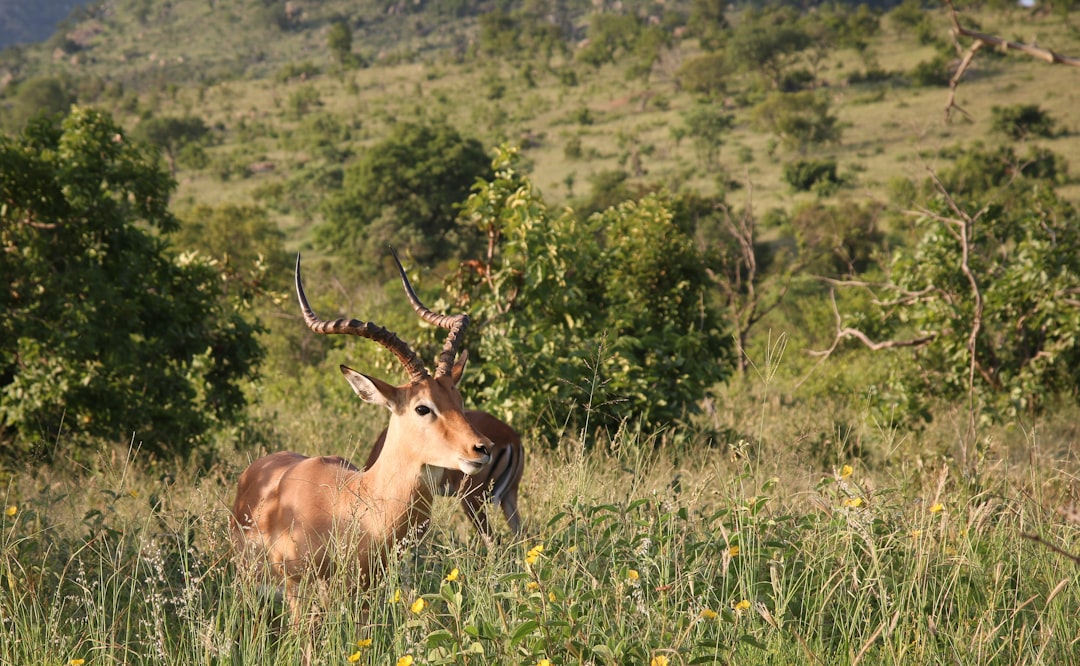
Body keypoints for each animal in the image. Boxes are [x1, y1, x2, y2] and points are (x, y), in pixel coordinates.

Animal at [234, 251, 494, 617]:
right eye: (422, 407)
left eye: (458, 400)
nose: (482, 448)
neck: (357, 504)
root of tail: (256, 470)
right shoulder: (300, 592)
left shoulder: (367, 594)